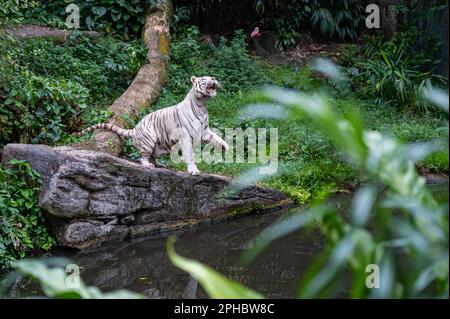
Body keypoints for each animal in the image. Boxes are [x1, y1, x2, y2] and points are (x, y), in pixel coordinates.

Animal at [78, 76, 230, 176]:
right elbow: (190, 155)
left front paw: (226, 147)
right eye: (204, 78)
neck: (202, 105)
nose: (214, 79)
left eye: (212, 77)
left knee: (152, 156)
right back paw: (149, 165)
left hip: (159, 146)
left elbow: (216, 138)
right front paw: (194, 171)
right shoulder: (186, 136)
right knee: (142, 157)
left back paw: (159, 165)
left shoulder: (204, 132)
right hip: (148, 140)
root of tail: (134, 129)